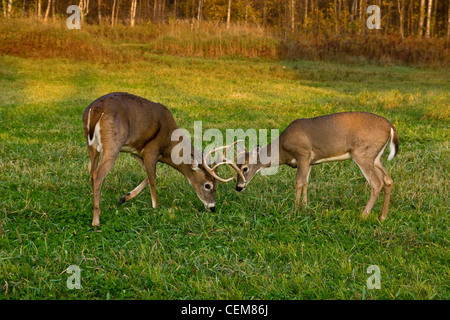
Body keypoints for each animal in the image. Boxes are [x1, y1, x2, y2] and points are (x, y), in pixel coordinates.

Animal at [82, 91, 241, 229]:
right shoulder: (151, 150)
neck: (169, 147)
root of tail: (95, 110)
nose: (212, 207)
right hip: (112, 144)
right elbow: (153, 179)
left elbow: (148, 176)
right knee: (98, 175)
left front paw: (125, 197)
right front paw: (155, 207)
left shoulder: (137, 152)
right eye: (208, 185)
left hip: (92, 147)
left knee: (92, 173)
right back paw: (96, 221)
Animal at [234, 112, 400, 220]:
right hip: (376, 158)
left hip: (362, 154)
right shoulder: (310, 161)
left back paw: (364, 215)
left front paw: (294, 210)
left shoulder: (303, 154)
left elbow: (298, 182)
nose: (238, 187)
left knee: (376, 183)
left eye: (245, 168)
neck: (282, 150)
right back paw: (383, 216)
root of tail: (391, 127)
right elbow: (306, 182)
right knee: (388, 180)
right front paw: (305, 207)